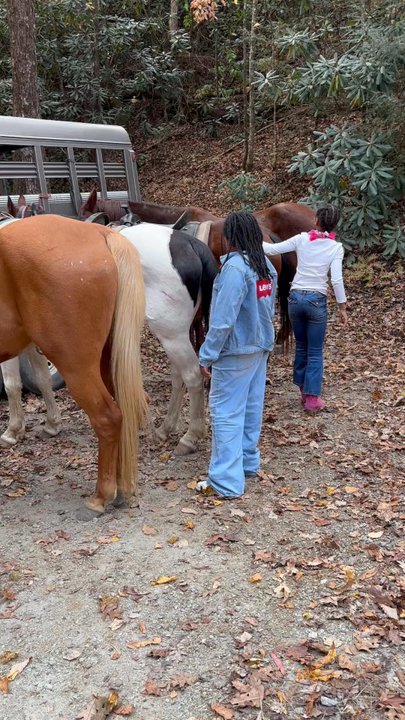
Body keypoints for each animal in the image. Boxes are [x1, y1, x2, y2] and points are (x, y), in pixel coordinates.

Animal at [0, 214, 145, 517]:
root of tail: (99, 232)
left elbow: (13, 385)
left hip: (77, 367)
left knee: (108, 418)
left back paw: (101, 497)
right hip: (105, 362)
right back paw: (121, 490)